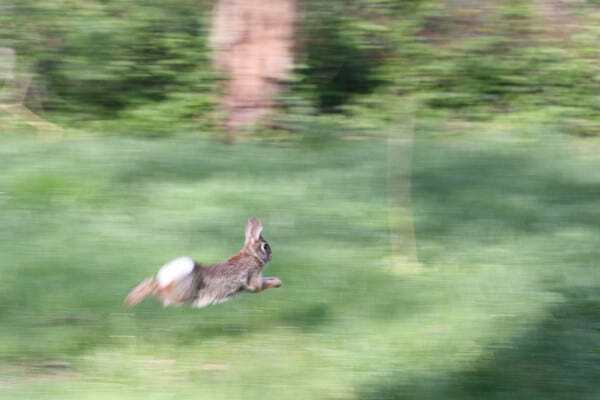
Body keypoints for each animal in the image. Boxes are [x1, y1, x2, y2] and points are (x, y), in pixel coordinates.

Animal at [123, 219, 282, 310]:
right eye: (265, 246)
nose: (271, 256)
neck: (252, 255)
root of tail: (166, 280)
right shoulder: (253, 280)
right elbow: (260, 286)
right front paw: (277, 283)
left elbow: (266, 279)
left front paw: (277, 281)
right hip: (181, 294)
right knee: (157, 289)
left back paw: (130, 299)